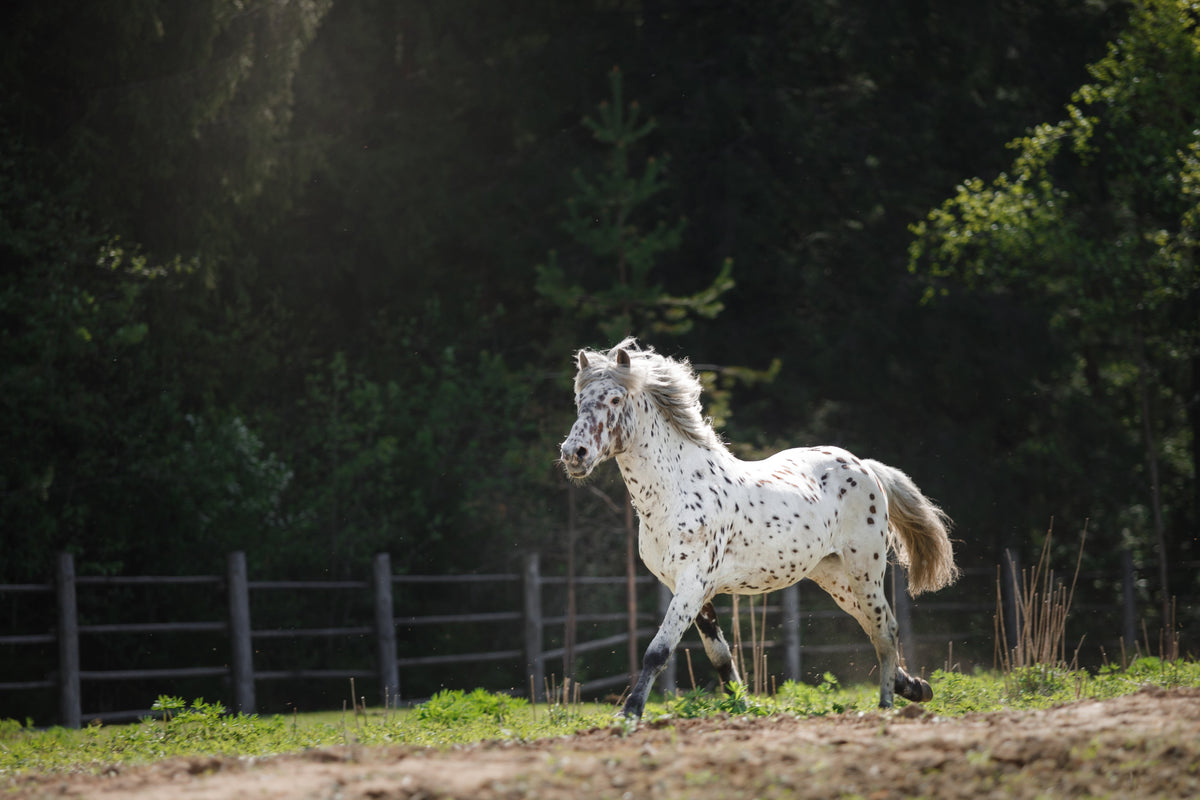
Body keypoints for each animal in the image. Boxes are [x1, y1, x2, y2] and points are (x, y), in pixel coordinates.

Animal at [558, 338, 959, 720]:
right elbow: (720, 656)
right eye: (579, 399)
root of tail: (865, 466)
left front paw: (629, 713)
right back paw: (916, 689)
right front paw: (743, 707)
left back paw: (887, 705)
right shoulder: (688, 588)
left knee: (885, 631)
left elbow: (658, 650)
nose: (573, 454)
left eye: (614, 398)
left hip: (865, 570)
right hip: (834, 578)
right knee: (877, 627)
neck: (675, 492)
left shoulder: (692, 582)